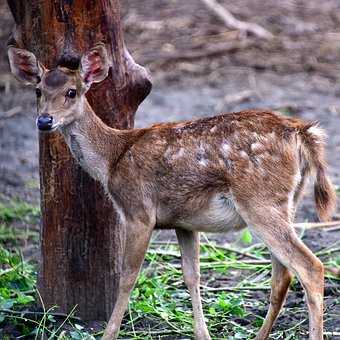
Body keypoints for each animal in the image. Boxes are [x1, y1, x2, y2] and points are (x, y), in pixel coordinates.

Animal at [8, 43, 338, 338]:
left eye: (71, 92)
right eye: (38, 91)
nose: (44, 121)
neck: (112, 159)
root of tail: (301, 132)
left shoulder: (138, 211)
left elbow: (127, 277)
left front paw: (109, 334)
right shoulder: (184, 223)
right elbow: (192, 276)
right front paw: (203, 334)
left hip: (260, 201)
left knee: (310, 267)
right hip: (286, 203)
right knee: (282, 275)